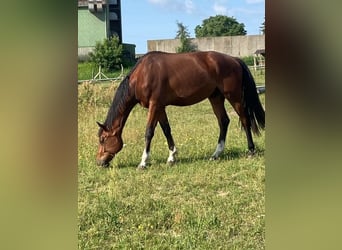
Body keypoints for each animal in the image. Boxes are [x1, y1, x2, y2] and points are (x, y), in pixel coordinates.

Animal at [95, 50, 264, 168]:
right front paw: (171, 157)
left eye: (102, 139)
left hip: (233, 96)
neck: (143, 74)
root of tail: (234, 60)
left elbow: (149, 132)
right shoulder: (160, 107)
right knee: (223, 121)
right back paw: (216, 154)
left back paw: (251, 150)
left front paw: (143, 162)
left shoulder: (154, 105)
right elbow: (166, 130)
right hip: (215, 97)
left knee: (245, 119)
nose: (99, 162)